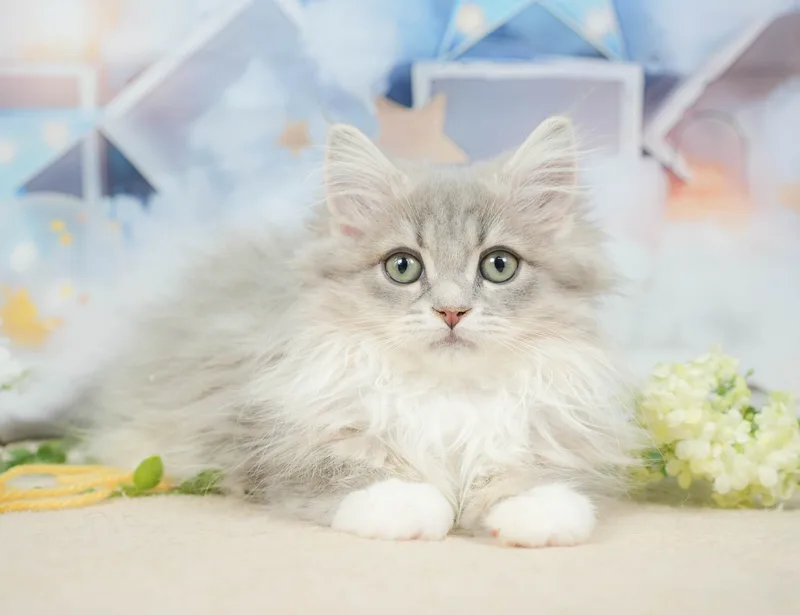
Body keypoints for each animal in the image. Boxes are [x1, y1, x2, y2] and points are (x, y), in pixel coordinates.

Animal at [2, 116, 641, 546]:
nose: (452, 312)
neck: (444, 396)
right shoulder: (265, 431)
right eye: (403, 266)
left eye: (499, 265)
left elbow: (533, 475)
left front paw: (539, 511)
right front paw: (406, 504)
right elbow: (346, 470)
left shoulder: (547, 429)